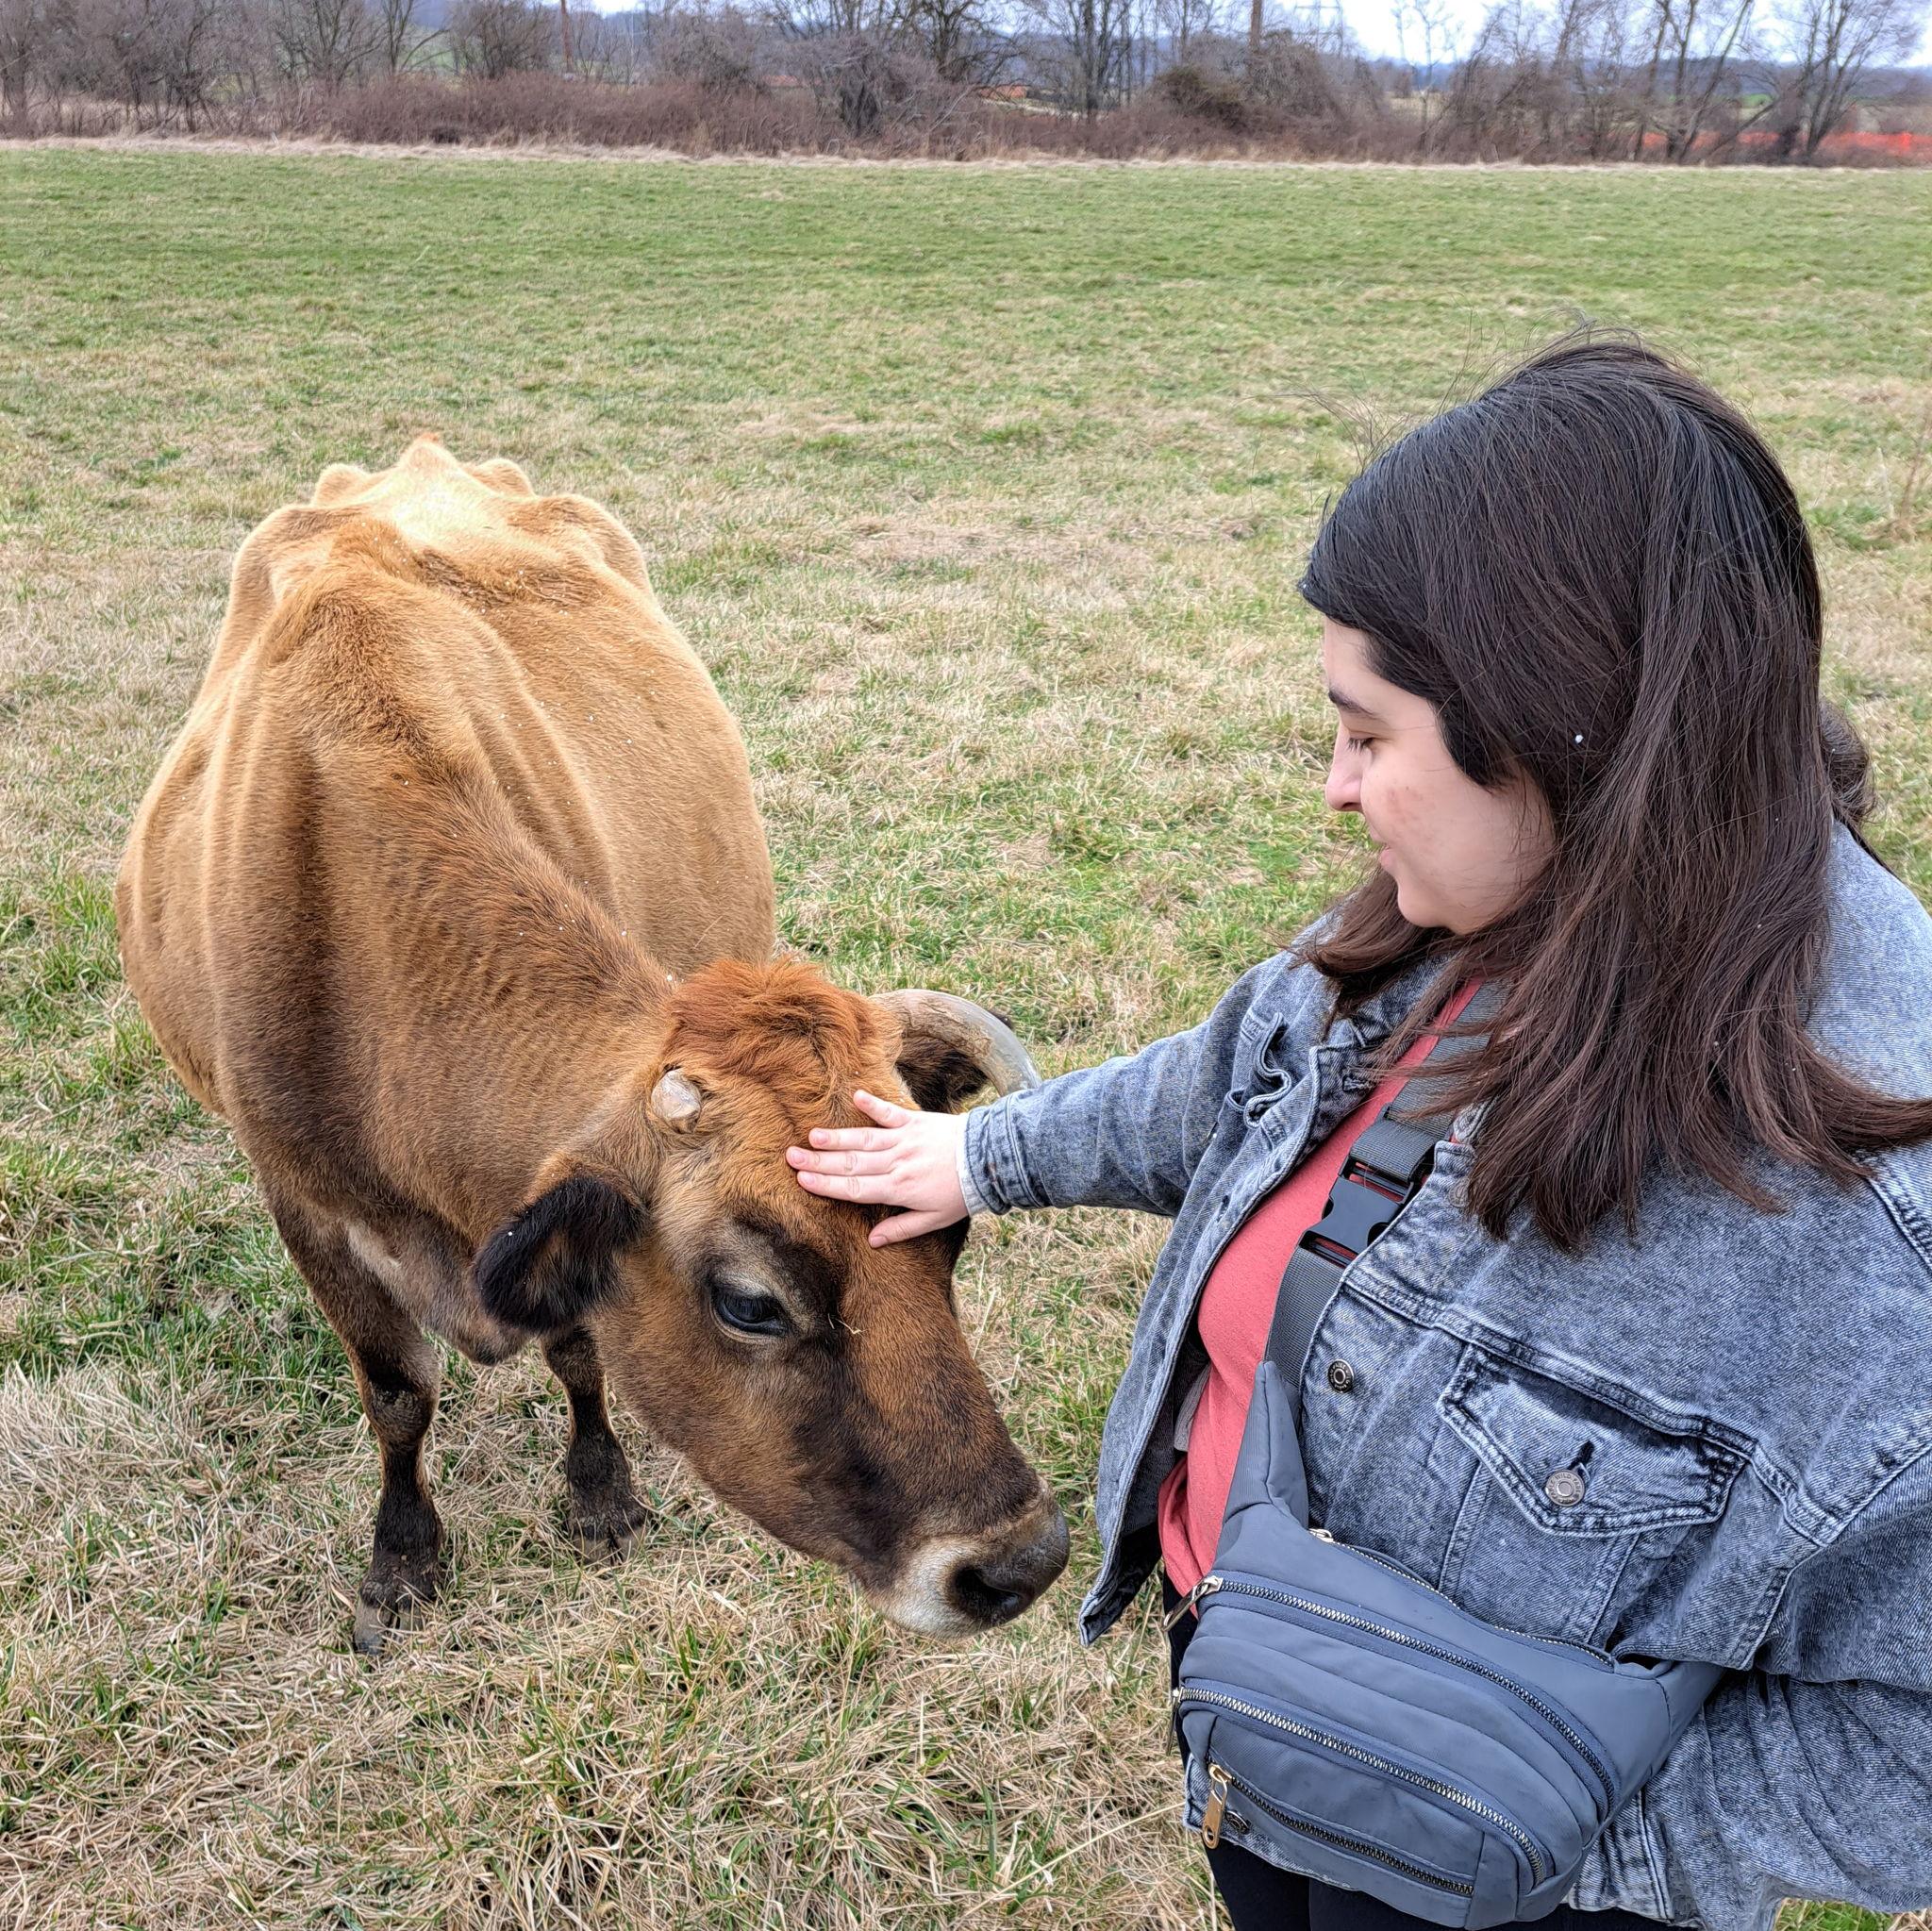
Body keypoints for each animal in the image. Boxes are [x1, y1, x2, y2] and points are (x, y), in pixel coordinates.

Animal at [116, 436, 1068, 1654]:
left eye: (949, 1239)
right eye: (750, 1302)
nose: (1016, 1561)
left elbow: (576, 1345)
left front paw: (599, 1489)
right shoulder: (303, 1204)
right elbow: (396, 1393)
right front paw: (402, 1556)